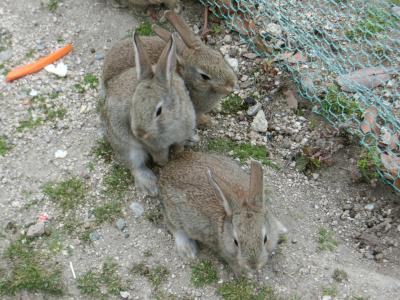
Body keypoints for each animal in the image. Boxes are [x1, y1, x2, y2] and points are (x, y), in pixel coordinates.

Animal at [101, 31, 197, 197]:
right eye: (132, 106)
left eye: (159, 111)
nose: (139, 133)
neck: (172, 122)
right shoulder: (154, 146)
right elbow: (160, 156)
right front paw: (164, 164)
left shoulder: (180, 135)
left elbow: (179, 147)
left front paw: (178, 154)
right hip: (127, 147)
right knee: (134, 165)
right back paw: (149, 185)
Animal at [159, 151, 288, 276]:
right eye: (235, 242)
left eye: (265, 239)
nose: (253, 265)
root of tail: (169, 167)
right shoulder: (224, 250)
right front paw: (246, 274)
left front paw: (281, 229)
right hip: (174, 213)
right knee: (172, 226)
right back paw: (187, 250)